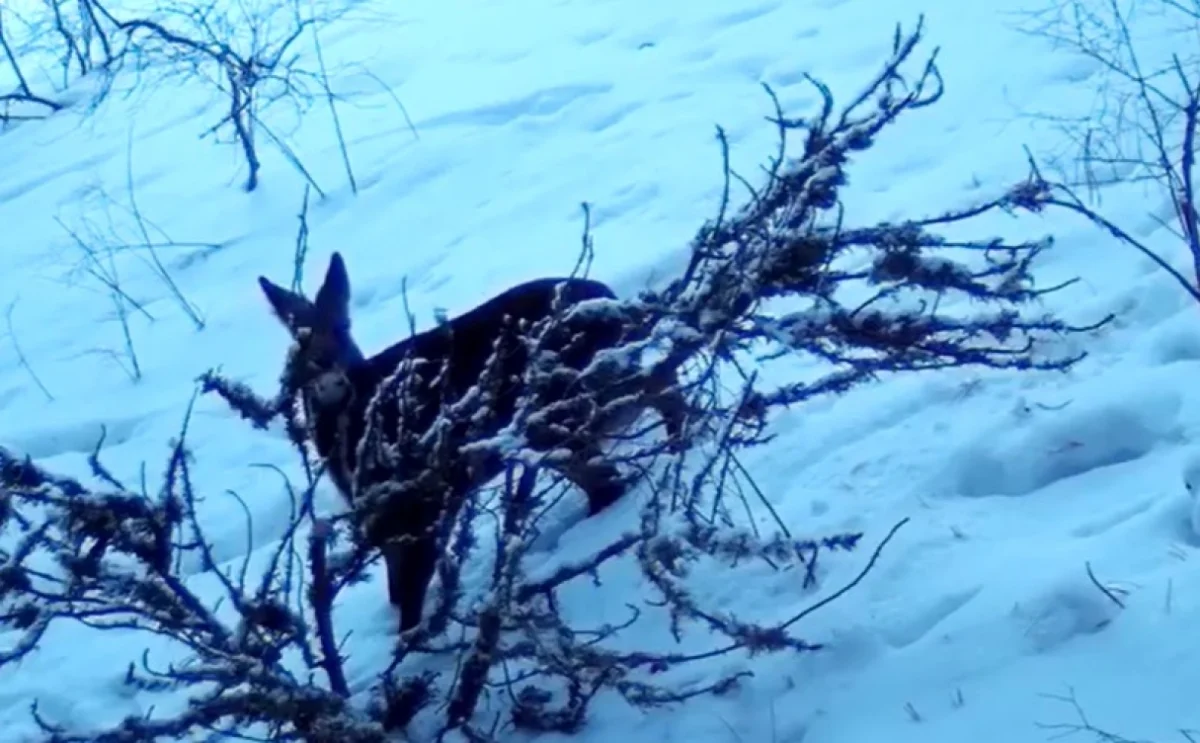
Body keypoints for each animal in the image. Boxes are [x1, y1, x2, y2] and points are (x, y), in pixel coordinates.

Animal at [258, 254, 691, 633]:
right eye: (296, 346)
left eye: (341, 327)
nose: (326, 369)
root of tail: (609, 300)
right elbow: (401, 587)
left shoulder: (415, 509)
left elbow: (411, 591)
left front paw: (409, 647)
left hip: (566, 405)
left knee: (646, 405)